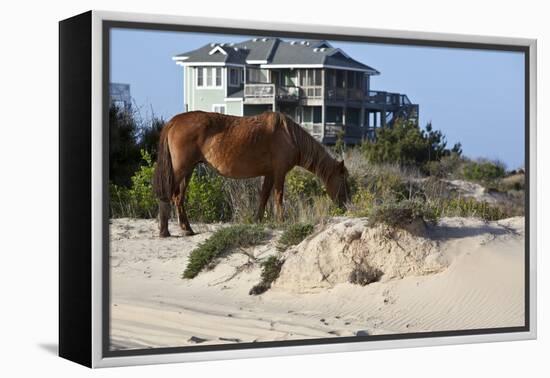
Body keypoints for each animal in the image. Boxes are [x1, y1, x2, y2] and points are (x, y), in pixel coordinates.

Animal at [153, 110, 352, 238]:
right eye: (343, 180)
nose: (346, 204)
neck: (289, 135)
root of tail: (174, 121)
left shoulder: (270, 174)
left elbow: (263, 197)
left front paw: (257, 220)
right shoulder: (279, 173)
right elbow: (278, 196)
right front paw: (281, 220)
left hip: (188, 170)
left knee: (178, 198)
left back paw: (187, 229)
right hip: (180, 170)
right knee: (169, 196)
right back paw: (165, 231)